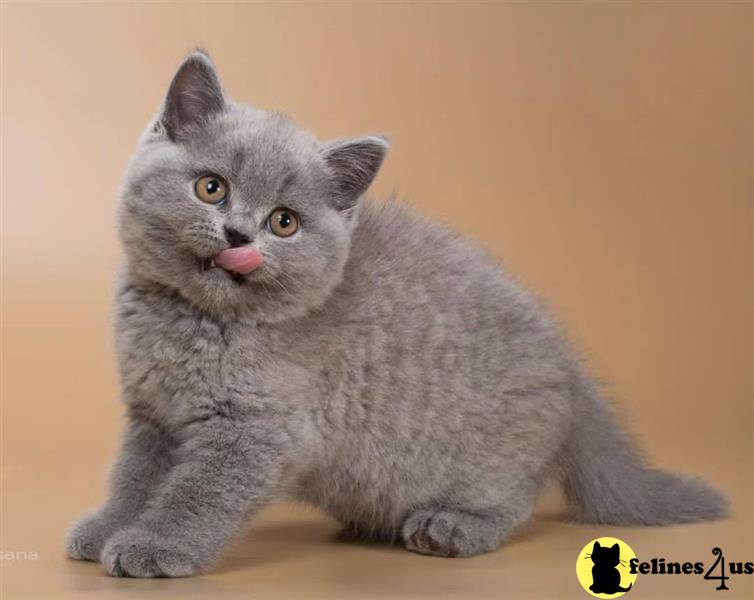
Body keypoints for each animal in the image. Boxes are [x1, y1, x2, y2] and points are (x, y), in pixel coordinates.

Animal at [66, 51, 728, 576]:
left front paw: (154, 546)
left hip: (493, 454)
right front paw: (108, 527)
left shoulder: (256, 428)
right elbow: (135, 475)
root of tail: (569, 366)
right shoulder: (152, 414)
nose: (239, 235)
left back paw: (454, 527)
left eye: (284, 222)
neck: (193, 320)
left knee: (514, 496)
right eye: (211, 188)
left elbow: (198, 493)